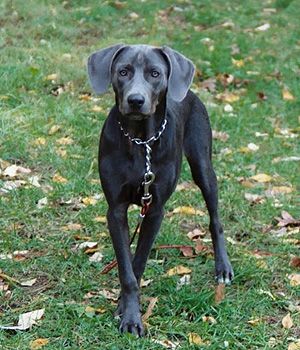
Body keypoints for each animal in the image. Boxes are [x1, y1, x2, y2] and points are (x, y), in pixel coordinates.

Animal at [86, 44, 232, 336]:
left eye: (155, 73)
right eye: (123, 71)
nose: (135, 100)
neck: (141, 141)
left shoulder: (154, 210)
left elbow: (138, 263)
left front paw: (128, 312)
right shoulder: (115, 210)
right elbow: (127, 269)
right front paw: (129, 312)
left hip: (203, 165)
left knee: (215, 219)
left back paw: (222, 267)